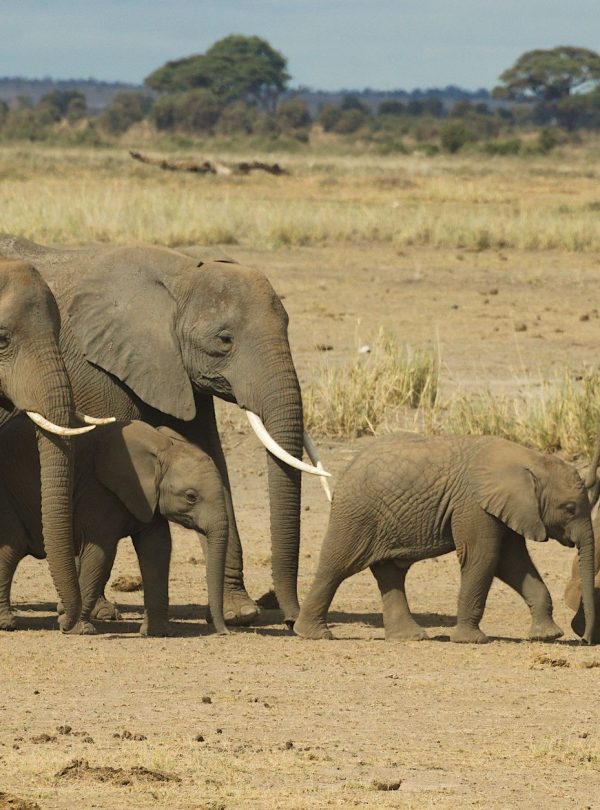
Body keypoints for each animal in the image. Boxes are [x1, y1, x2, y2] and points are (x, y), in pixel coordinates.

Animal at [0, 417, 228, 635]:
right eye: (191, 496)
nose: (224, 631)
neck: (161, 448)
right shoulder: (100, 493)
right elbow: (99, 553)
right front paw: (80, 630)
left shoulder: (148, 499)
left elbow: (158, 549)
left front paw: (160, 633)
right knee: (12, 550)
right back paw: (7, 624)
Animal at [294, 433, 596, 644]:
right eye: (570, 509)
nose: (585, 639)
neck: (530, 460)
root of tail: (347, 468)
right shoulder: (474, 505)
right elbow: (483, 558)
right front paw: (471, 641)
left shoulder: (508, 509)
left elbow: (513, 564)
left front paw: (548, 636)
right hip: (356, 513)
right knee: (336, 566)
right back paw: (314, 635)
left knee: (390, 572)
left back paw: (410, 638)